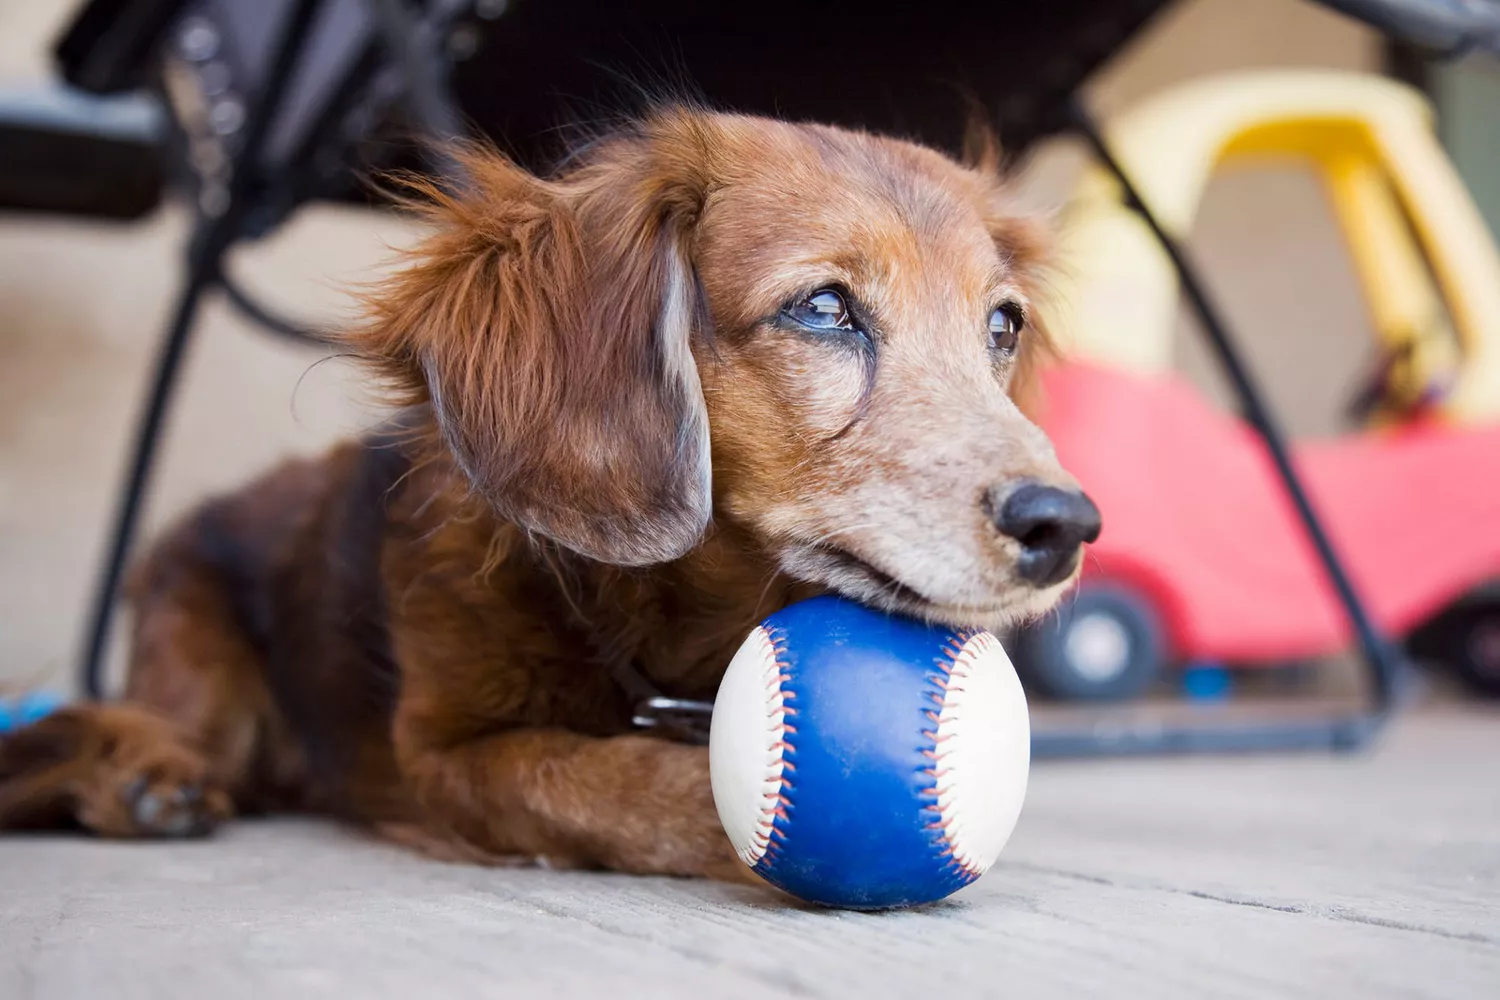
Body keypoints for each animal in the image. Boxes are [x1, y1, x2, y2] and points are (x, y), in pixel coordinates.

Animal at [0, 105, 1104, 881]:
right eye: (825, 309)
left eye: (1001, 326)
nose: (1067, 526)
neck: (668, 627)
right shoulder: (447, 753)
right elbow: (615, 778)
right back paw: (141, 775)